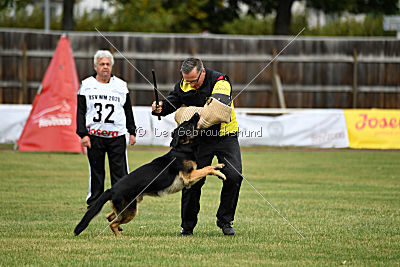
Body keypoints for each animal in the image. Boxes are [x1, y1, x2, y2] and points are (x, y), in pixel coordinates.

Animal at [74, 113, 225, 237]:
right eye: (187, 124)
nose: (197, 113)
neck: (183, 148)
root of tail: (112, 189)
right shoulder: (189, 177)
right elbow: (207, 168)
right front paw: (219, 173)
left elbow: (208, 167)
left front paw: (219, 166)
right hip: (131, 211)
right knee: (113, 223)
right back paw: (120, 237)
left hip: (128, 207)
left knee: (109, 217)